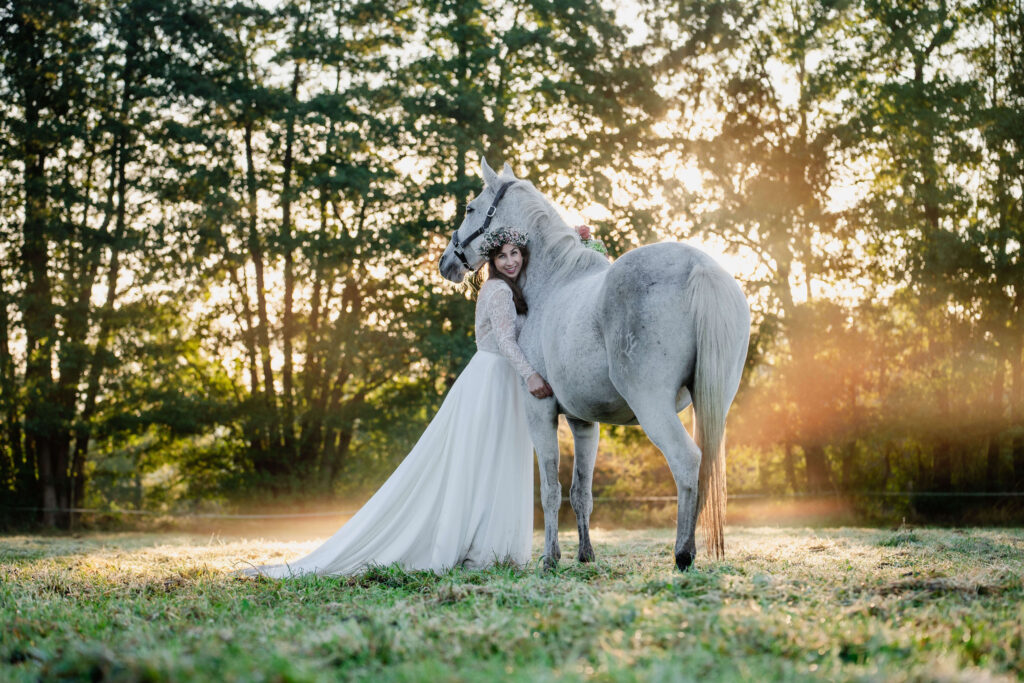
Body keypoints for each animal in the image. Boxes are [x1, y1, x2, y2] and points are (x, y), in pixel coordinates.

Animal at [439, 159, 750, 571]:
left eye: (470, 209)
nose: (446, 262)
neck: (553, 282)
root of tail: (700, 267)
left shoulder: (540, 410)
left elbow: (550, 489)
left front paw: (550, 559)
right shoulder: (583, 422)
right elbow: (580, 491)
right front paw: (585, 555)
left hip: (652, 405)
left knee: (687, 461)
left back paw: (683, 555)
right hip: (714, 402)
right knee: (706, 466)